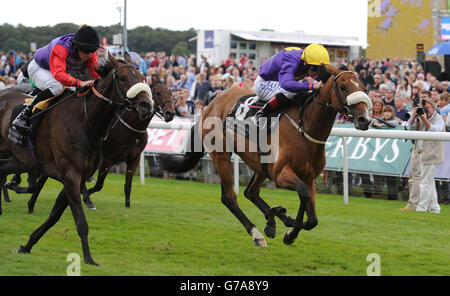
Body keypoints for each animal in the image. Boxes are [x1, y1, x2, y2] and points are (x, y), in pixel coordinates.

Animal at [0, 51, 153, 266]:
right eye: (123, 78)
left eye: (142, 78)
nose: (146, 105)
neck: (85, 121)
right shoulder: (70, 176)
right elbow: (81, 222)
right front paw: (88, 258)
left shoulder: (76, 177)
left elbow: (53, 217)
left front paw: (27, 245)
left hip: (20, 159)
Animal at [156, 64, 370, 247]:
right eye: (343, 86)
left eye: (362, 86)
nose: (364, 119)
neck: (304, 128)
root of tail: (212, 103)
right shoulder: (281, 174)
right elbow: (302, 193)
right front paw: (289, 232)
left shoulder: (309, 176)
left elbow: (312, 218)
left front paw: (286, 224)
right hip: (222, 155)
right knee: (229, 198)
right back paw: (257, 233)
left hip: (259, 163)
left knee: (251, 192)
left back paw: (274, 219)